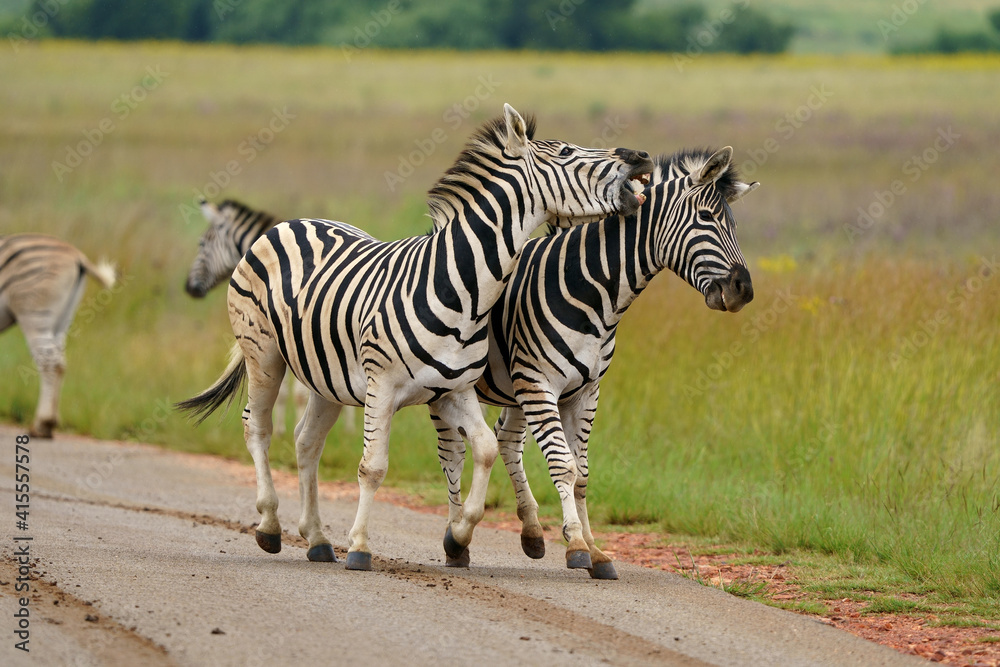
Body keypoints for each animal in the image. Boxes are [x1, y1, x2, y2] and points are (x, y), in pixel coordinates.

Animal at [0, 234, 116, 438]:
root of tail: (78, 256)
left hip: (34, 313)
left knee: (48, 361)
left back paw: (43, 423)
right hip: (62, 319)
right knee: (60, 362)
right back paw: (49, 423)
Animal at [433, 146, 757, 578]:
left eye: (734, 224)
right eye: (706, 218)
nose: (744, 291)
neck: (594, 292)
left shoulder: (583, 391)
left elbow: (583, 473)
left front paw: (595, 550)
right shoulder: (540, 382)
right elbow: (563, 466)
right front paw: (575, 546)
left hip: (515, 387)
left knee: (506, 439)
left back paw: (531, 532)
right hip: (458, 386)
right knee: (452, 453)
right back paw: (457, 538)